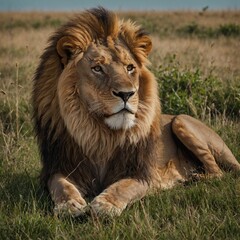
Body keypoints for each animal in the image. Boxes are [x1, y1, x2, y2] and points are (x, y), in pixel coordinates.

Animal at [32, 7, 240, 218]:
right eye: (97, 68)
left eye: (130, 67)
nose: (126, 94)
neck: (100, 135)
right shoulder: (59, 167)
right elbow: (61, 185)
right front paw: (69, 204)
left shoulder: (141, 174)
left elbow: (123, 187)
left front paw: (105, 204)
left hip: (180, 121)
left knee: (219, 172)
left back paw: (194, 178)